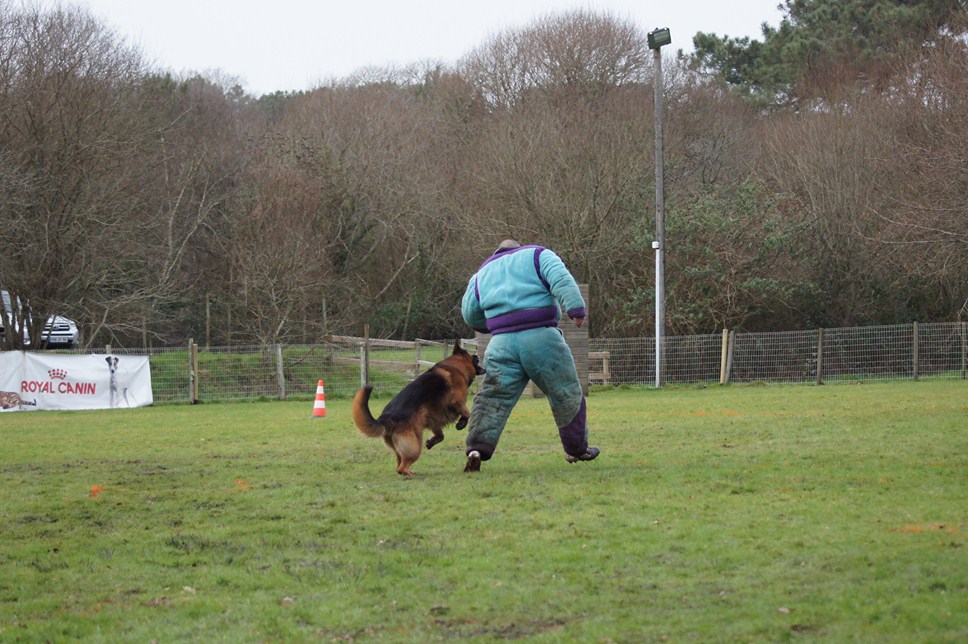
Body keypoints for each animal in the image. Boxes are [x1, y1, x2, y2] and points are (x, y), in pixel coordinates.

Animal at [352, 340, 484, 476]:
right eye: (475, 359)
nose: (479, 356)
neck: (456, 367)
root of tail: (386, 418)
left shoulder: (433, 418)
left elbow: (440, 435)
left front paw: (431, 442)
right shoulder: (457, 402)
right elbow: (467, 412)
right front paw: (461, 423)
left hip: (400, 449)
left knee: (398, 465)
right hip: (414, 447)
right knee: (401, 468)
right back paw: (410, 474)